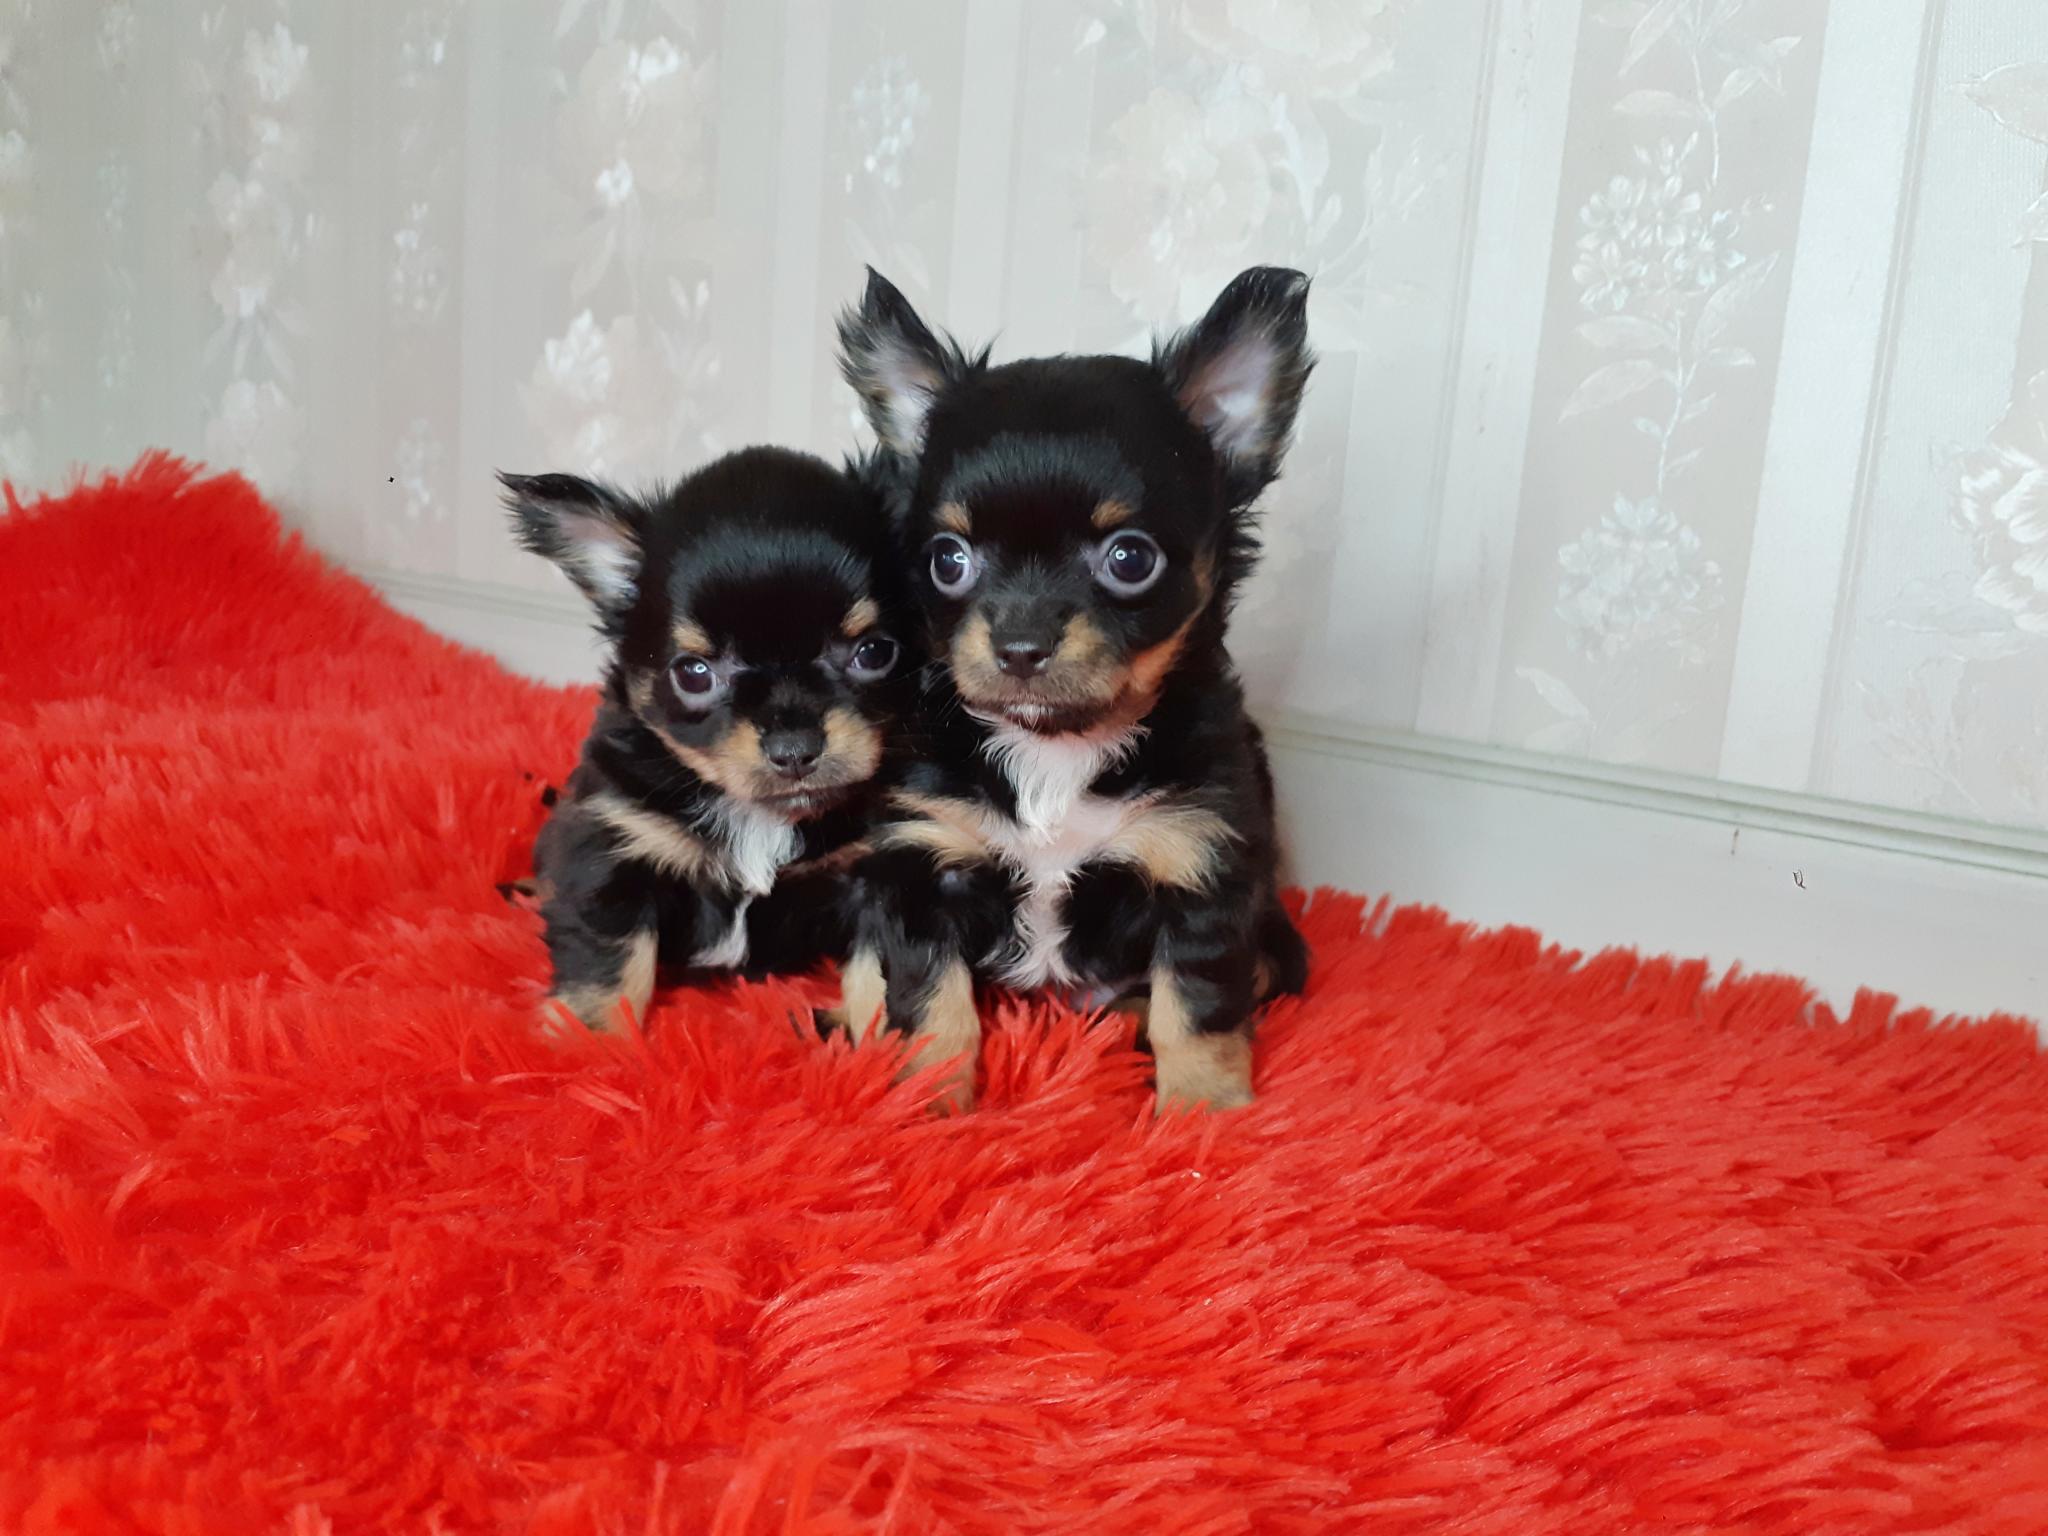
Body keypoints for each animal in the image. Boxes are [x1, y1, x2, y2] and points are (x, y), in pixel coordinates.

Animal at [503, 448, 911, 1033]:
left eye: (874, 652)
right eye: (693, 674)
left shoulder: (874, 872)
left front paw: (879, 1045)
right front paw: (588, 1038)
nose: (794, 750)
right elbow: (607, 960)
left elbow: (880, 970)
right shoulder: (615, 849)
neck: (759, 816)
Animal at [831, 266, 1313, 1112]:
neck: (1055, 747)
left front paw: (1203, 1115)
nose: (1021, 646)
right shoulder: (925, 863)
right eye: (947, 560)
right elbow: (933, 1002)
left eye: (1130, 559)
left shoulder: (1199, 868)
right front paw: (929, 1103)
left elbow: (1197, 1009)